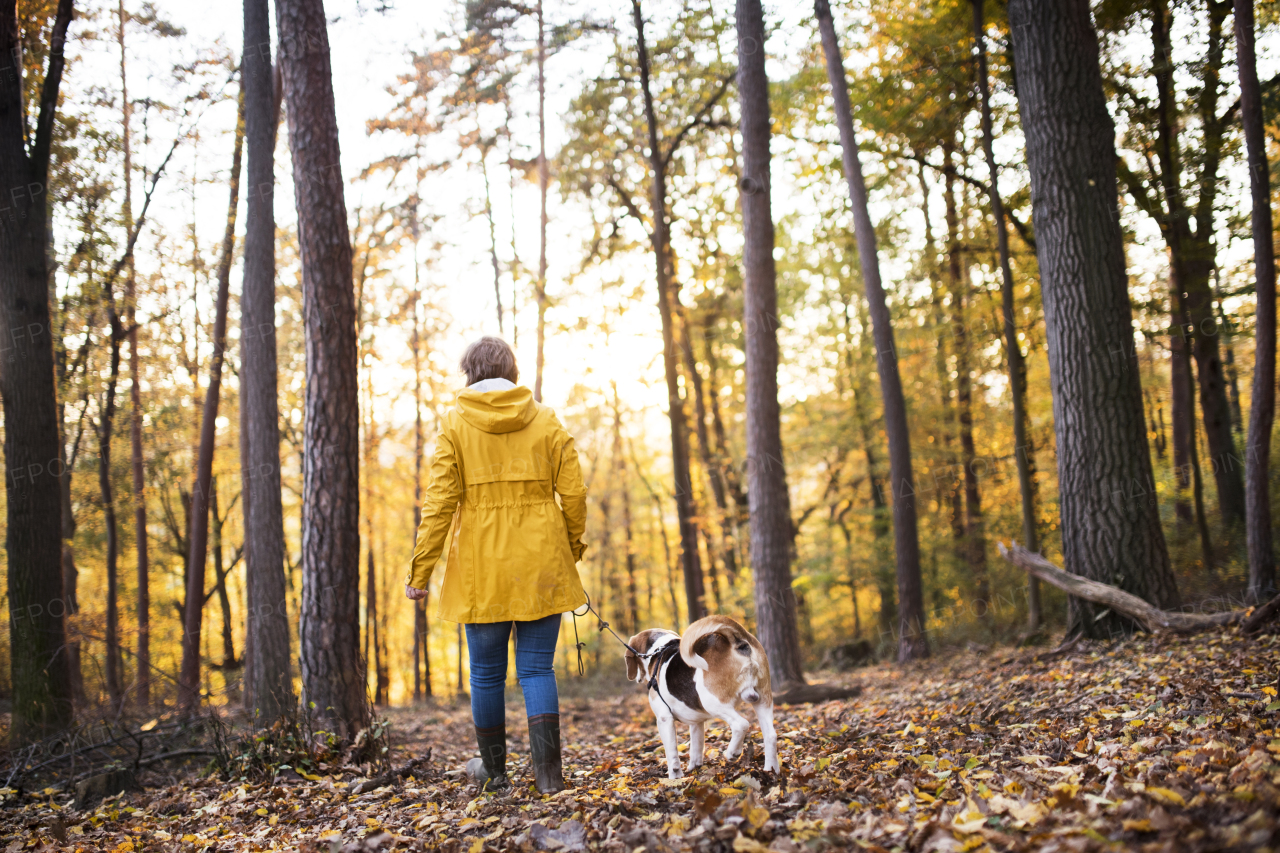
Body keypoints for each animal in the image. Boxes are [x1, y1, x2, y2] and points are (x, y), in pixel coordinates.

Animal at [622, 612, 778, 778]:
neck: (659, 650)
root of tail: (737, 640)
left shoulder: (664, 719)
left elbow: (672, 755)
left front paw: (675, 778)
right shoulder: (696, 723)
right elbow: (696, 748)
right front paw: (694, 768)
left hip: (713, 702)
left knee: (741, 724)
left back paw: (732, 753)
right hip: (763, 700)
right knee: (770, 736)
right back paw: (771, 771)